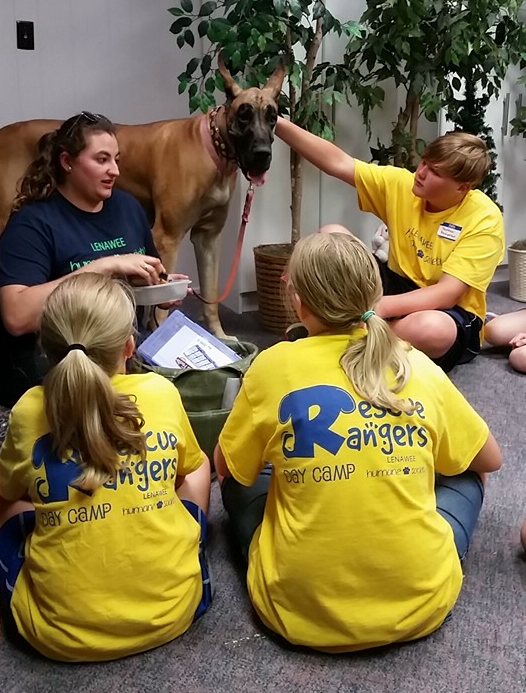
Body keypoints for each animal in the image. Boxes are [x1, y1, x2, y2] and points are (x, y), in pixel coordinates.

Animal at [0, 56, 284, 336]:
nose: (262, 154)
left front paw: (218, 335)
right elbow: (161, 305)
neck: (214, 146)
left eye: (273, 118)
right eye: (244, 115)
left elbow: (211, 294)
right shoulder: (167, 237)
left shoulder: (208, 237)